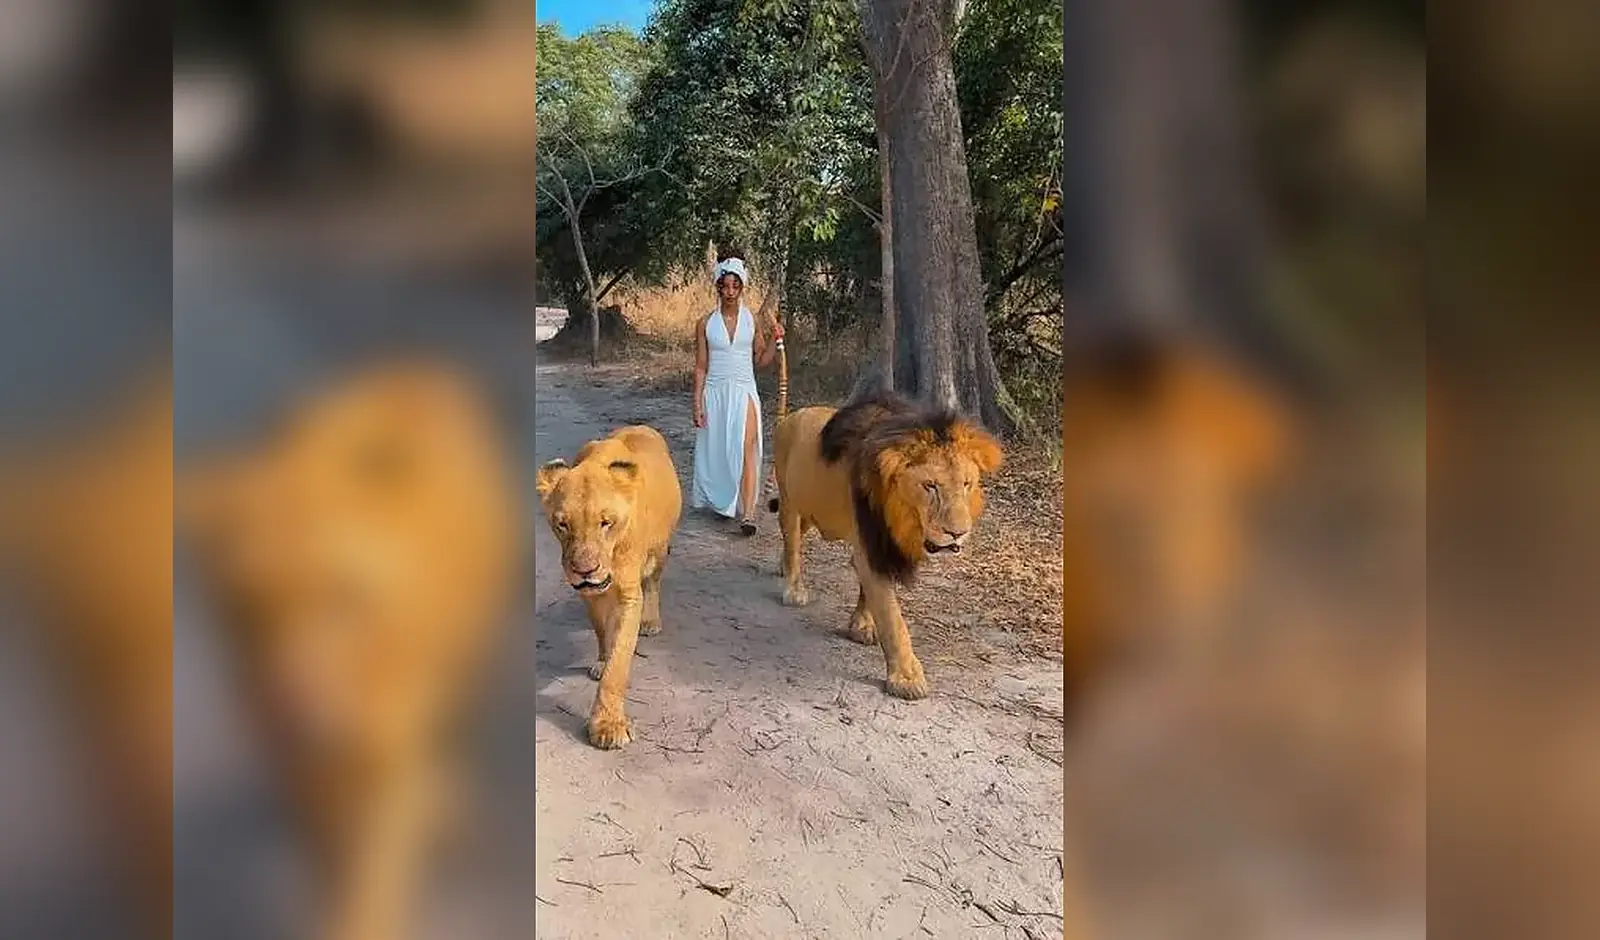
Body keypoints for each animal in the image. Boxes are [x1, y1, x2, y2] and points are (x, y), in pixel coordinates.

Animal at [176, 361, 521, 940]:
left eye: (342, 596)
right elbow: (326, 842)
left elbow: (373, 868)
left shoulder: (388, 752)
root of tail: (411, 370)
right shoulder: (299, 761)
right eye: (245, 601)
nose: (286, 710)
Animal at [536, 425, 683, 749]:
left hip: (660, 549)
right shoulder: (589, 595)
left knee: (653, 583)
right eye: (562, 524)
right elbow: (603, 632)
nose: (585, 571)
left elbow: (619, 662)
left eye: (606, 523)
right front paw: (601, 662)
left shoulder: (629, 596)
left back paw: (652, 622)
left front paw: (608, 725)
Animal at [768, 391, 1004, 699]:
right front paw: (906, 678)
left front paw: (861, 625)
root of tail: (791, 416)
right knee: (792, 541)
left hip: (812, 510)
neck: (898, 512)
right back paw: (794, 588)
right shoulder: (871, 543)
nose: (958, 533)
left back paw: (781, 567)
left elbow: (870, 594)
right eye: (930, 486)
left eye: (966, 484)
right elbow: (893, 620)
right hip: (790, 502)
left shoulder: (878, 544)